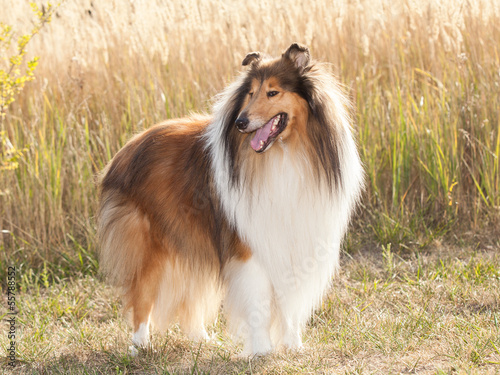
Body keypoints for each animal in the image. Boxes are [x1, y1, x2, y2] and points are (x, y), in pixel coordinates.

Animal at [97, 44, 364, 356]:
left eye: (273, 92)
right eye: (250, 93)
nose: (240, 123)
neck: (285, 154)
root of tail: (125, 150)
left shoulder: (294, 241)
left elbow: (289, 301)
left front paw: (293, 345)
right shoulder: (250, 246)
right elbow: (259, 301)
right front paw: (261, 350)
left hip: (189, 237)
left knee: (189, 292)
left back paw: (201, 338)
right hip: (151, 244)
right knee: (142, 294)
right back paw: (140, 345)